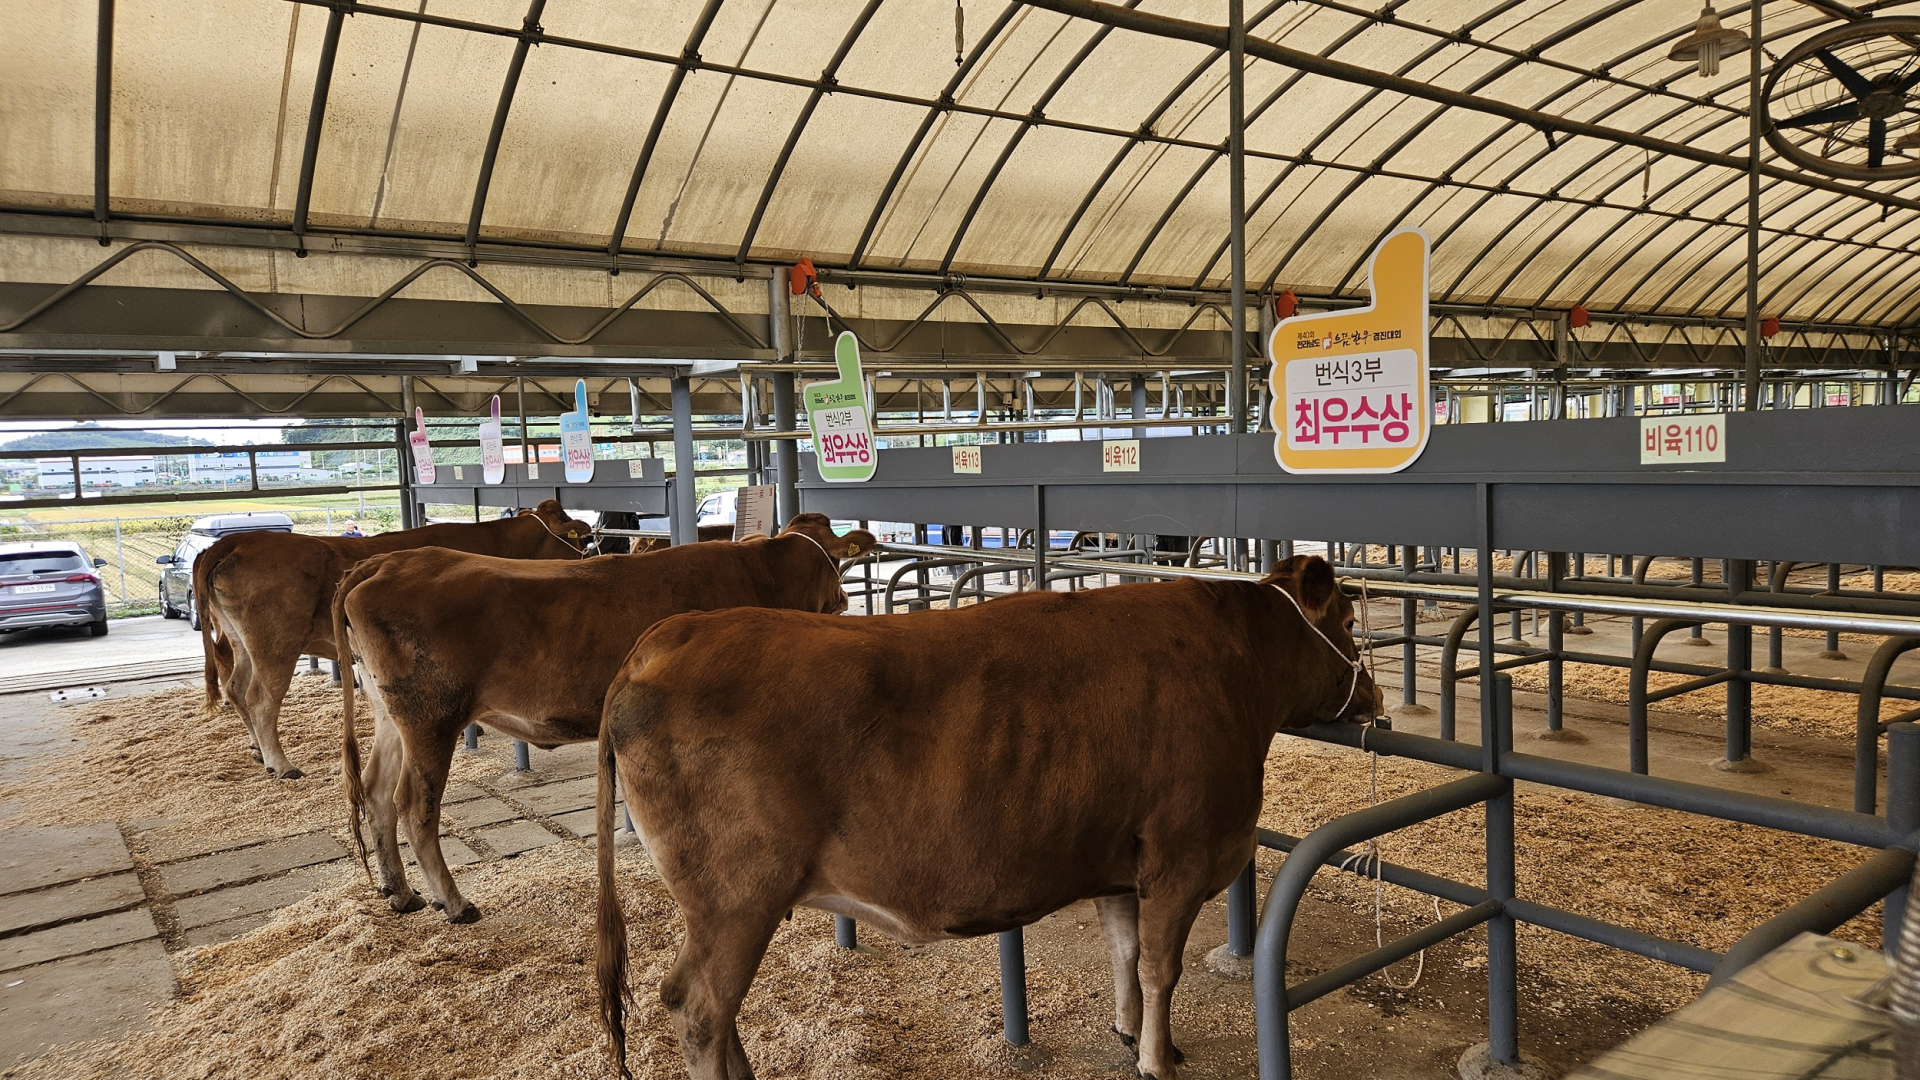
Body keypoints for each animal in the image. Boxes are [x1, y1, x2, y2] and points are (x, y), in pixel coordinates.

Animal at [195, 499, 587, 776]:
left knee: (235, 688)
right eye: (583, 535)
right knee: (261, 698)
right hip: (275, 645)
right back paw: (281, 764)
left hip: (241, 641)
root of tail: (237, 542)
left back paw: (257, 750)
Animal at [341, 511, 879, 914]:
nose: (844, 600)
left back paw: (399, 892)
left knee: (376, 792)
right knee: (414, 803)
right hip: (430, 717)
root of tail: (384, 563)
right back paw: (453, 903)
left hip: (391, 716)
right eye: (837, 561)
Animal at [591, 553, 1374, 1076]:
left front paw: (1129, 1032)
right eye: (1348, 618)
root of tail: (664, 638)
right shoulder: (1180, 854)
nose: (1372, 695)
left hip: (729, 907)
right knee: (698, 1007)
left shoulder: (1121, 861)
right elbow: (1160, 966)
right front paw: (1158, 1057)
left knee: (715, 1011)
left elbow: (1124, 953)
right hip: (735, 897)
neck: (1238, 670)